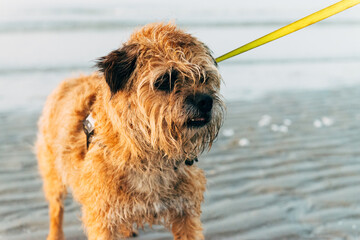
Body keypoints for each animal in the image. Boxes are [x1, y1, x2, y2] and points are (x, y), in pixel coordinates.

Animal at [35, 23, 224, 240]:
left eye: (203, 77)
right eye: (164, 80)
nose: (205, 101)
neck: (150, 157)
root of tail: (70, 81)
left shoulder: (186, 213)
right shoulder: (103, 220)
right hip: (53, 174)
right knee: (56, 209)